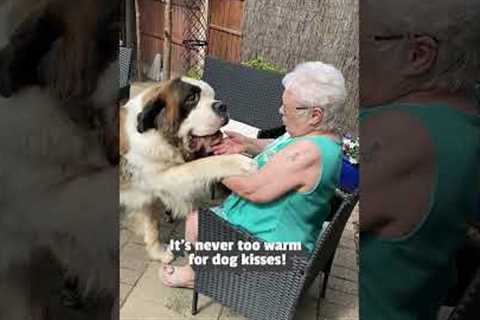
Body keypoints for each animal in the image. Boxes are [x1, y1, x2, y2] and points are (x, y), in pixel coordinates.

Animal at [119, 77, 255, 262]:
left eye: (213, 95)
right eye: (192, 99)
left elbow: (151, 224)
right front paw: (238, 161)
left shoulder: (148, 190)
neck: (160, 136)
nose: (222, 105)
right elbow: (201, 165)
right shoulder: (164, 178)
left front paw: (157, 252)